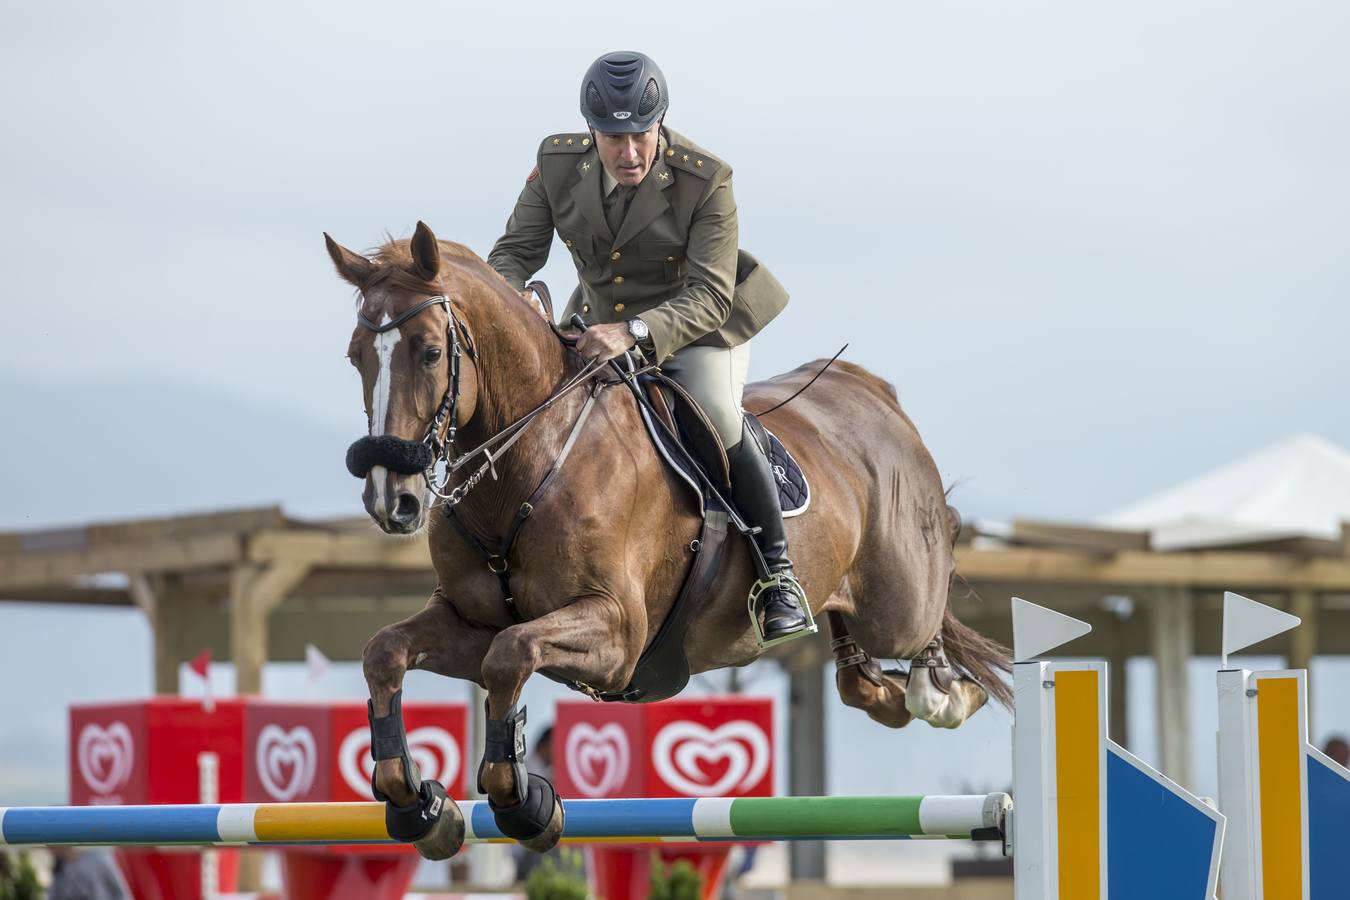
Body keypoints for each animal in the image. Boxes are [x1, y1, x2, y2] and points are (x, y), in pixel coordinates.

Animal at [326, 223, 1009, 858]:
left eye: (430, 352)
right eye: (357, 355)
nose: (391, 499)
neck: (533, 456)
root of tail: (870, 389)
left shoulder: (616, 633)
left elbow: (509, 657)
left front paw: (524, 803)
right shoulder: (471, 622)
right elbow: (387, 652)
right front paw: (418, 804)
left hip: (897, 606)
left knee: (926, 624)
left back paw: (945, 692)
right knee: (858, 680)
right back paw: (887, 685)